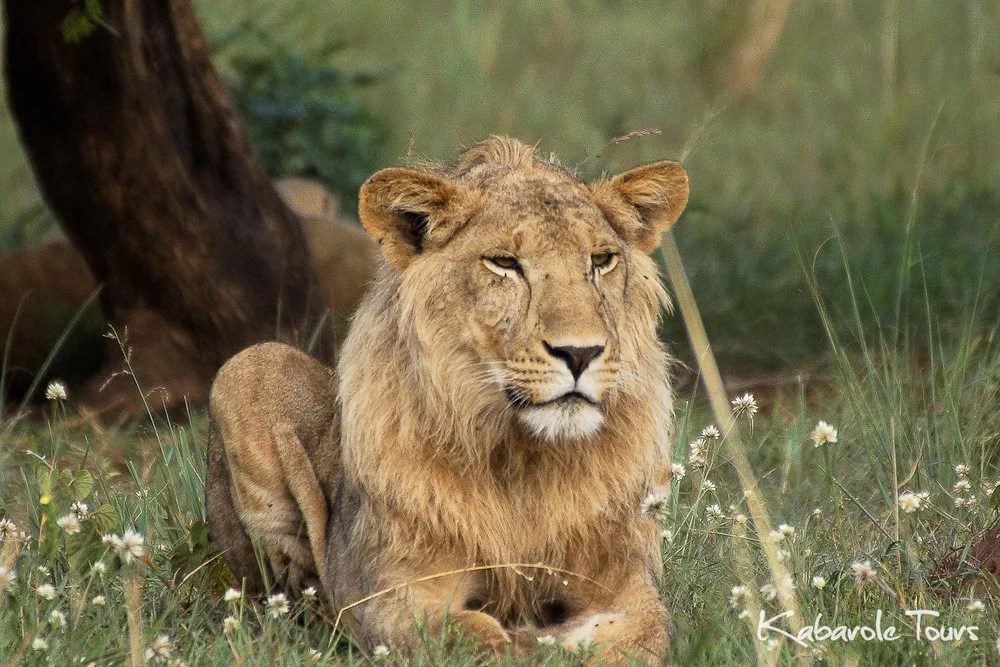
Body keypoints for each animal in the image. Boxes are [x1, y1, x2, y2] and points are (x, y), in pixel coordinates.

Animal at [205, 136, 689, 662]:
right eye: (504, 263)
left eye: (601, 260)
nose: (580, 353)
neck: (522, 459)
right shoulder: (390, 589)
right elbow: (468, 638)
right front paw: (524, 642)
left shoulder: (625, 579)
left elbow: (648, 632)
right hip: (251, 365)